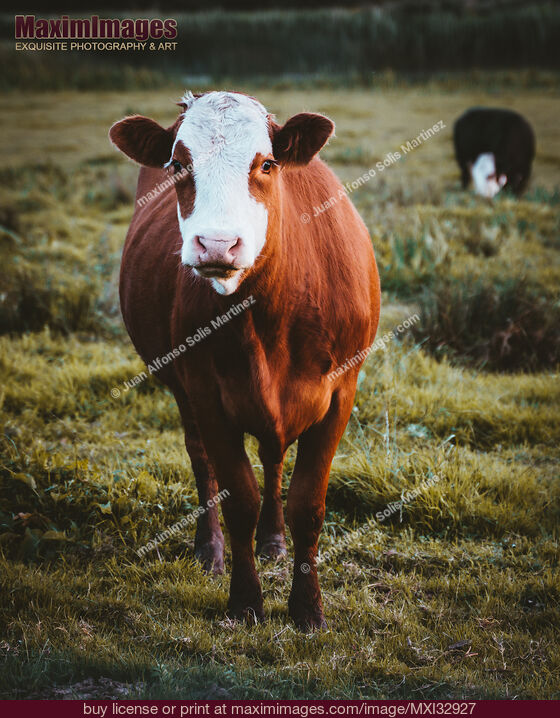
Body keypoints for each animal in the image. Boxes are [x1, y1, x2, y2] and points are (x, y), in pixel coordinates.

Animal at [109, 91, 380, 631]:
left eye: (267, 164)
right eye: (178, 164)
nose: (217, 244)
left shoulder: (342, 391)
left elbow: (307, 504)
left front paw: (308, 609)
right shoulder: (206, 394)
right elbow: (238, 496)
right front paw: (246, 602)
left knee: (273, 460)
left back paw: (273, 541)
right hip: (183, 391)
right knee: (201, 461)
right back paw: (210, 551)